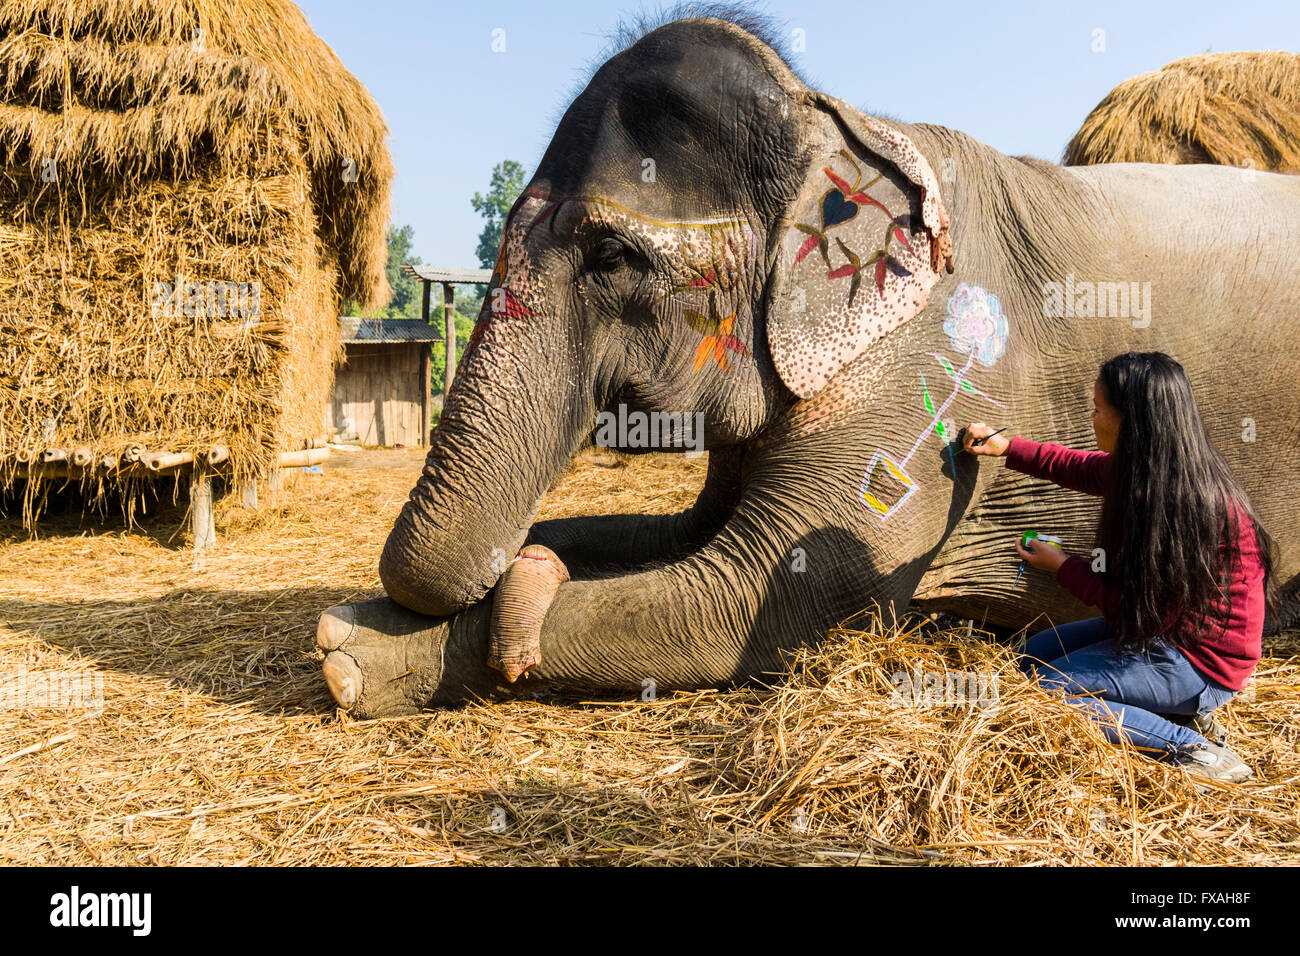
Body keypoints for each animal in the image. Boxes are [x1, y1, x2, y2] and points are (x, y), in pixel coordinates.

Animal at [314, 13, 1300, 717]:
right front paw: (519, 567)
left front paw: (346, 652)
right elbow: (679, 535)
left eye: (612, 257)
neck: (838, 116)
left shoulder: (919, 380)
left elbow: (738, 599)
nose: (514, 570)